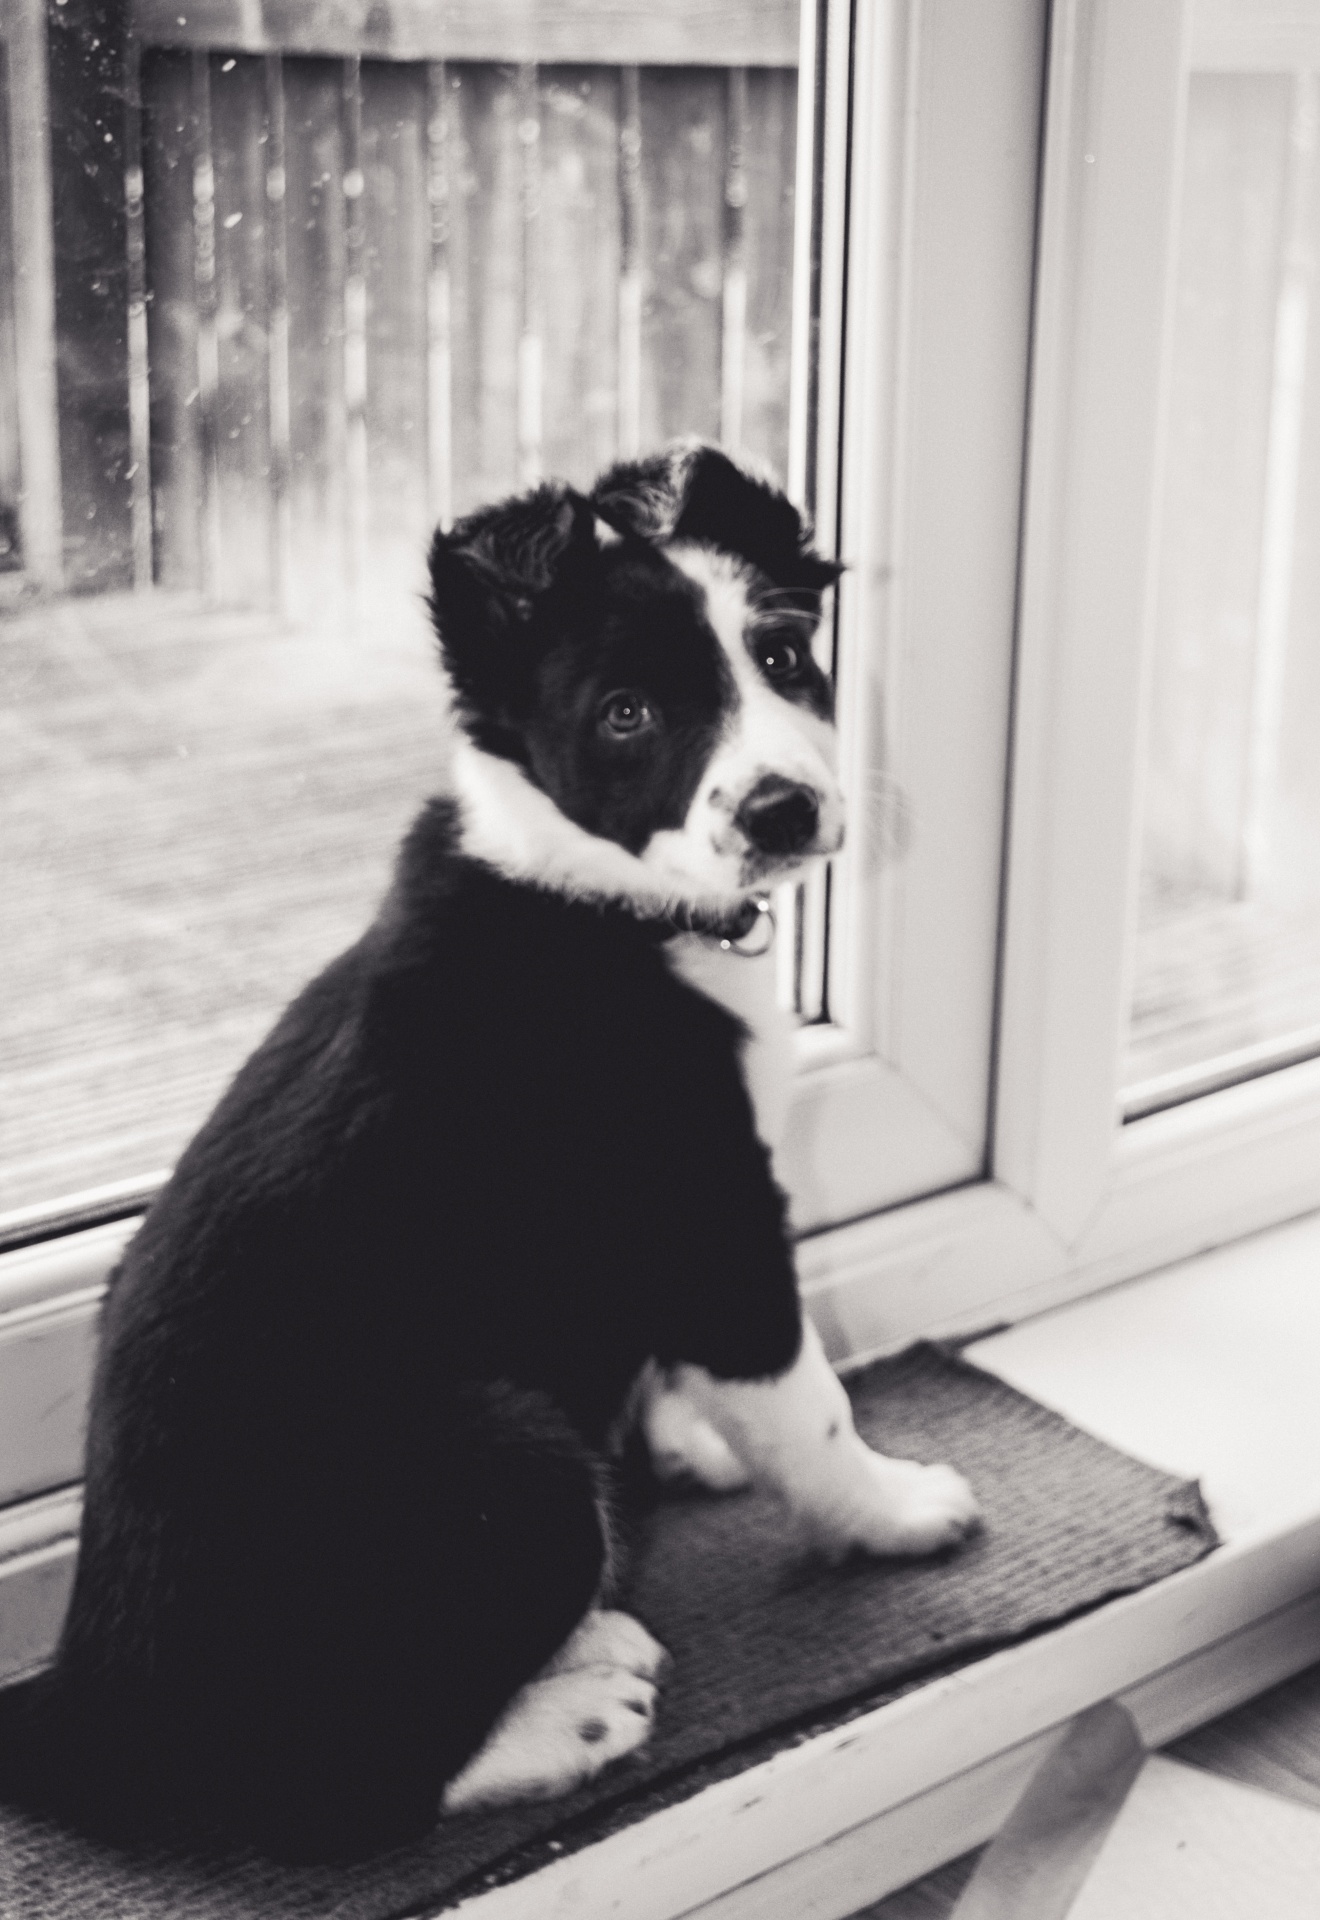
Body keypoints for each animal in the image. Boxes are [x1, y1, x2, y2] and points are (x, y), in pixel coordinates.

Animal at [5, 445, 974, 1858]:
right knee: (340, 1785)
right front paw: (891, 1513)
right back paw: (566, 1713)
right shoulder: (716, 1216)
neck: (606, 902)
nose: (784, 811)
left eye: (784, 656)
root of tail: (86, 1714)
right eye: (626, 714)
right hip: (504, 1455)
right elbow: (810, 1403)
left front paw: (679, 1447)